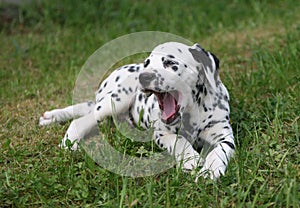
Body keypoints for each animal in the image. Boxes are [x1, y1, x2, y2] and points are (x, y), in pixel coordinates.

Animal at [39, 41, 234, 180]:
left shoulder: (223, 134)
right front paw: (191, 160)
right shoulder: (162, 134)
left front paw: (210, 171)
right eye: (147, 63)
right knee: (81, 120)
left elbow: (219, 151)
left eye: (170, 62)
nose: (144, 76)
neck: (193, 110)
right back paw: (68, 143)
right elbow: (180, 141)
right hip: (116, 100)